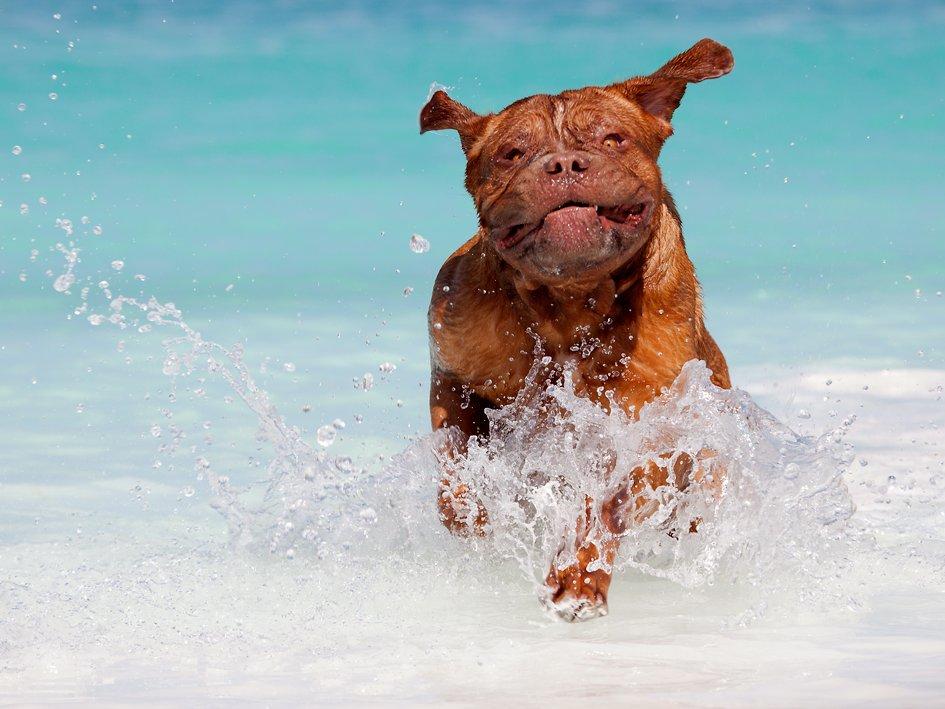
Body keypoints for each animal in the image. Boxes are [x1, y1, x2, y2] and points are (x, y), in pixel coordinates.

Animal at [422, 40, 736, 620]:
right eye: (511, 153)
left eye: (614, 139)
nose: (564, 163)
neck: (570, 300)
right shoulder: (452, 375)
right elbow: (456, 464)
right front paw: (473, 514)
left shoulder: (652, 430)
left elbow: (608, 503)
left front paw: (578, 576)